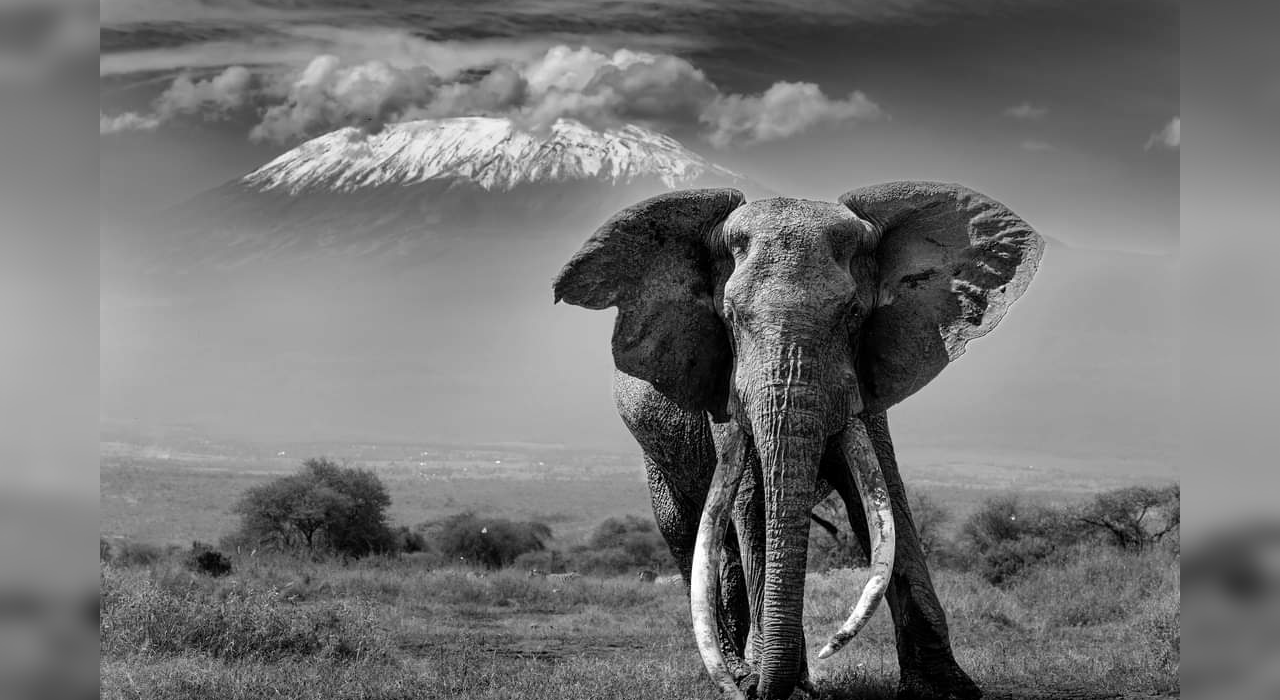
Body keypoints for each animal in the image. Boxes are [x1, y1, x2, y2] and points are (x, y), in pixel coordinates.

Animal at [552, 181, 1043, 700]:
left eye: (853, 314)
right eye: (729, 317)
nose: (828, 652)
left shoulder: (868, 380)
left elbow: (884, 504)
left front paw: (947, 689)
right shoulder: (726, 387)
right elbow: (755, 503)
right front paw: (769, 686)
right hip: (653, 446)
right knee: (686, 532)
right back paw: (739, 674)